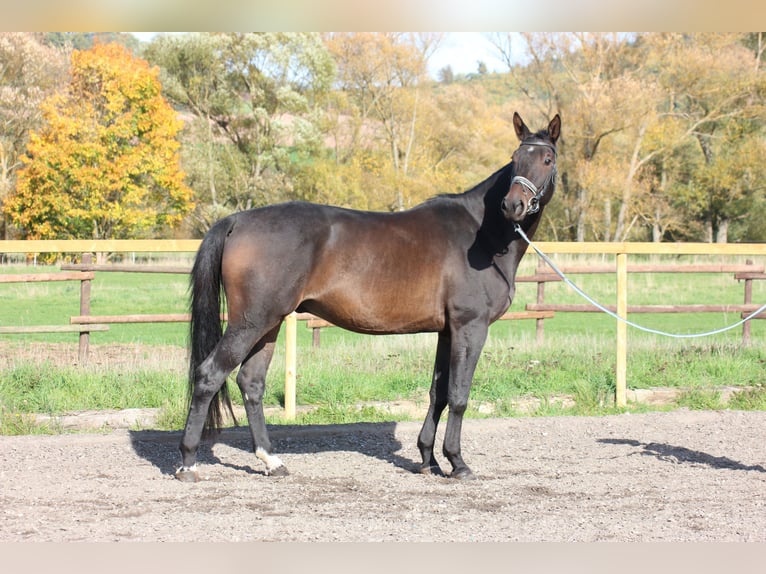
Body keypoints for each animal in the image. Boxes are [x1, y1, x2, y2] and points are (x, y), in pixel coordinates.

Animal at [178, 111, 564, 482]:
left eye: (547, 159)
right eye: (515, 159)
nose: (513, 205)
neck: (480, 234)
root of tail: (237, 220)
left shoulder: (447, 330)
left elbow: (438, 392)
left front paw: (428, 460)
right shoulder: (471, 327)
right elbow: (458, 395)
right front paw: (457, 463)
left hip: (268, 324)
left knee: (251, 383)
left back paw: (271, 461)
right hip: (250, 322)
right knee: (210, 374)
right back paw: (188, 463)